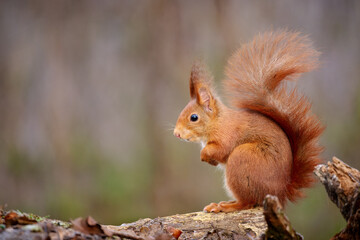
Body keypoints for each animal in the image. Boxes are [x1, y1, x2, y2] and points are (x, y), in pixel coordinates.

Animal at [173, 31, 324, 213]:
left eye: (194, 117)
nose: (176, 133)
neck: (218, 122)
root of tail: (281, 192)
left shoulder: (228, 134)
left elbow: (221, 149)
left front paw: (204, 154)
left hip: (242, 160)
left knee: (247, 202)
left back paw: (226, 206)